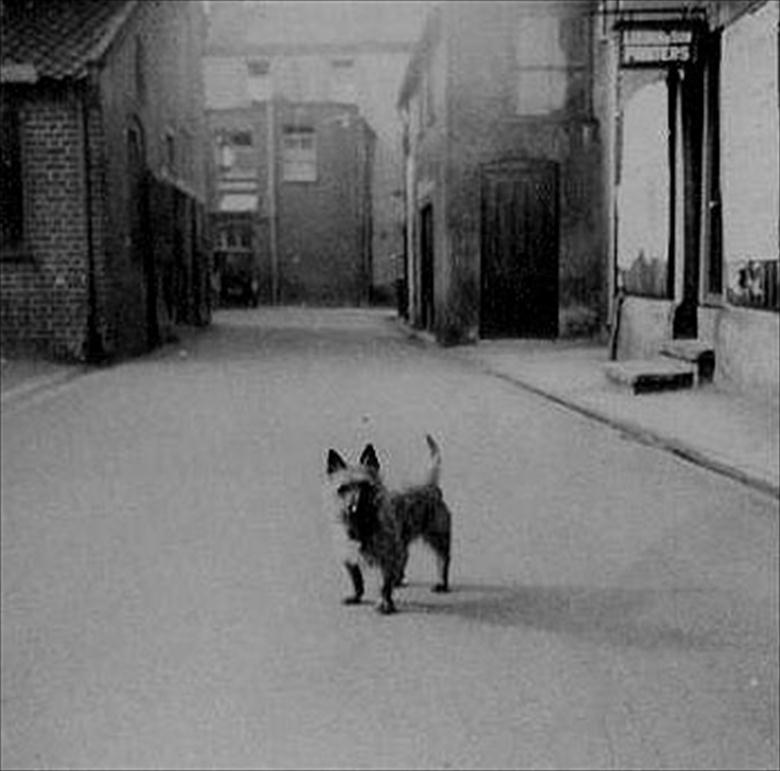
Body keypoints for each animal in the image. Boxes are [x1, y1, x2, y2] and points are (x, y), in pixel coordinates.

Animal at [326, 434, 454, 616]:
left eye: (366, 486)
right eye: (342, 489)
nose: (354, 507)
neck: (362, 527)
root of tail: (429, 485)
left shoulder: (386, 559)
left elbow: (383, 585)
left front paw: (385, 603)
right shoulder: (349, 558)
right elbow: (356, 579)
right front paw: (356, 596)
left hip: (437, 538)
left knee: (442, 559)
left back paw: (441, 583)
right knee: (404, 556)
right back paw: (398, 579)